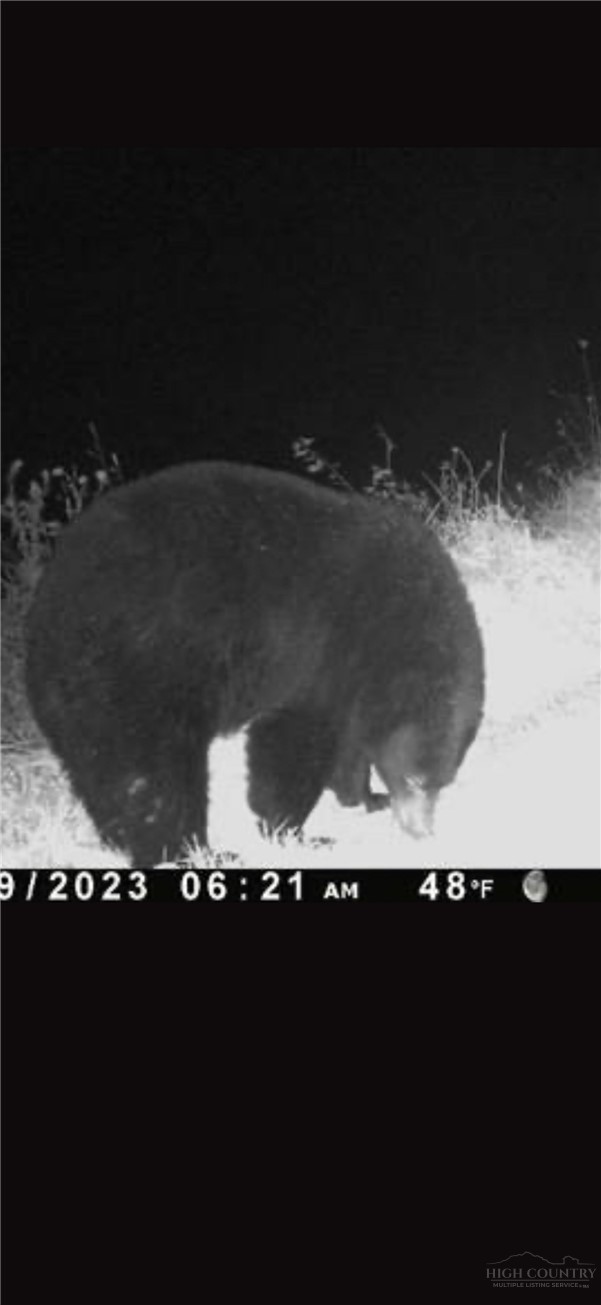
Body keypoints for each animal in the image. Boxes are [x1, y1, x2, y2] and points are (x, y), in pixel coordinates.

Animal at [25, 460, 485, 866]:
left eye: (441, 782)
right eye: (416, 779)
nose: (421, 831)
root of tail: (44, 622)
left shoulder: (354, 681)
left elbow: (349, 740)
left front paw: (365, 796)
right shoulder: (320, 649)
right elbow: (292, 740)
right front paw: (294, 831)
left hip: (84, 706)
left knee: (108, 774)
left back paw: (123, 840)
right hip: (138, 677)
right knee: (157, 772)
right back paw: (191, 851)